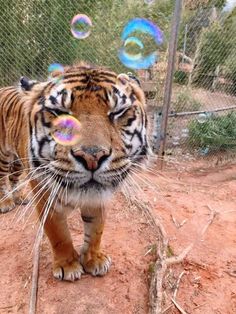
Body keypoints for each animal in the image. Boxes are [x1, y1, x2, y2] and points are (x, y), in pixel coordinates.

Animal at [0, 62, 148, 280]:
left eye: (118, 112)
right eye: (60, 112)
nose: (92, 157)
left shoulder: (98, 196)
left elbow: (96, 230)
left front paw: (94, 260)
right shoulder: (45, 194)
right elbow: (58, 233)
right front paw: (68, 265)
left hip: (18, 162)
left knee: (14, 177)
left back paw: (19, 198)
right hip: (3, 155)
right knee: (2, 178)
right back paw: (6, 203)